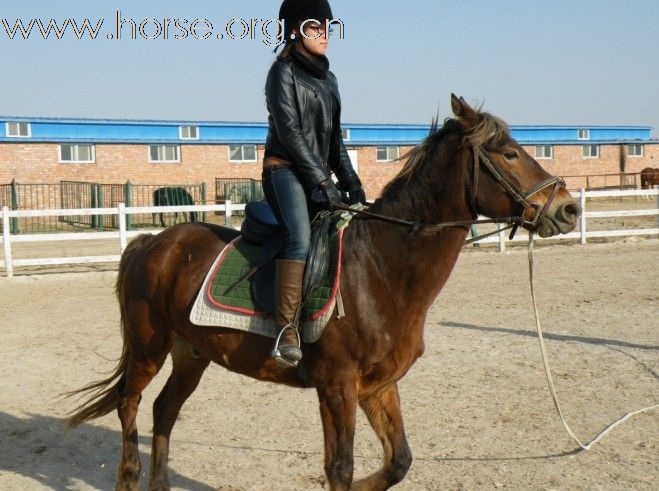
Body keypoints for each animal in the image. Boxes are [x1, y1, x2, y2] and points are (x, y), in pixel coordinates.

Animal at [67, 96, 580, 491]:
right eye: (508, 153)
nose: (569, 208)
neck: (379, 268)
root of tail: (152, 242)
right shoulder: (336, 387)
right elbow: (340, 468)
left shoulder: (378, 386)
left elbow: (397, 461)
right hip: (149, 346)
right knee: (130, 404)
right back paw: (128, 477)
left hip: (192, 353)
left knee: (164, 411)